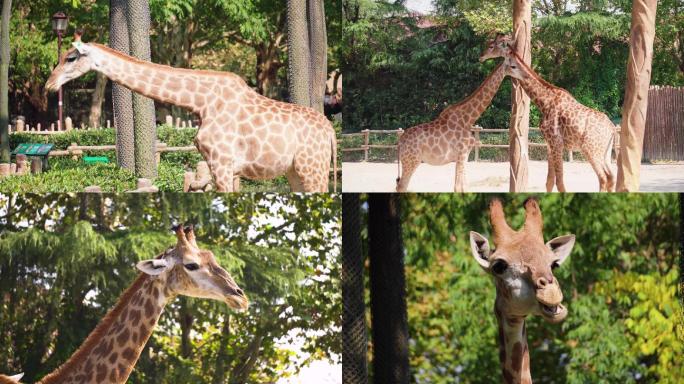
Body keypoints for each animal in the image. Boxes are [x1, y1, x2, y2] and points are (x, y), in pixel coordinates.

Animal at [45, 33, 336, 192]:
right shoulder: (218, 165)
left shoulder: (222, 163)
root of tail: (331, 132)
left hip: (313, 168)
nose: (49, 85)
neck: (201, 103)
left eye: (70, 58)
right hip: (295, 171)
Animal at [398, 58, 528, 192]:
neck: (468, 119)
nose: (526, 75)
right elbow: (457, 187)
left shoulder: (465, 155)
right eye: (513, 66)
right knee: (402, 186)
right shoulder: (461, 154)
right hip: (411, 161)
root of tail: (400, 141)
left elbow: (465, 186)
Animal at [478, 33, 616, 192]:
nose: (481, 57)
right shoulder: (549, 144)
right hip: (605, 152)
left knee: (603, 178)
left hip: (591, 150)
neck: (544, 102)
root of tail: (612, 129)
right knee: (611, 177)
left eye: (491, 46)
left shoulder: (557, 143)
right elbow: (549, 181)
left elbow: (560, 182)